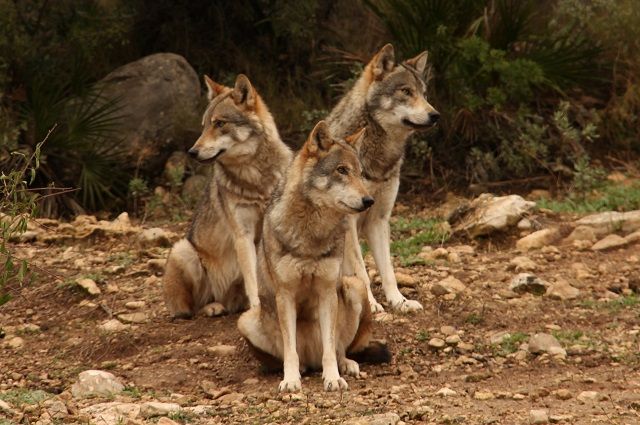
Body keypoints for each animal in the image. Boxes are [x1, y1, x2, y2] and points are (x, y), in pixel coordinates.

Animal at [163, 74, 292, 319]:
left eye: (219, 123)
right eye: (204, 125)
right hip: (183, 250)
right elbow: (253, 280)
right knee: (193, 308)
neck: (255, 177)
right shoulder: (242, 235)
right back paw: (213, 307)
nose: (192, 152)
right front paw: (257, 308)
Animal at [238, 121, 390, 392]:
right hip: (246, 319)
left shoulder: (327, 292)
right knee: (292, 357)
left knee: (339, 349)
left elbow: (330, 348)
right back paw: (300, 370)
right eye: (342, 170)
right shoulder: (285, 295)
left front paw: (333, 378)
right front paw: (290, 380)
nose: (369, 200)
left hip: (354, 287)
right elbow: (290, 351)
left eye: (360, 173)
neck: (311, 236)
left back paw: (346, 365)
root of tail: (311, 360)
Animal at [326, 44, 439, 313]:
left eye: (424, 94)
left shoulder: (379, 219)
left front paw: (400, 301)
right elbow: (362, 271)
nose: (435, 115)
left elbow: (388, 270)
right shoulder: (349, 223)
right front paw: (371, 305)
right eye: (406, 92)